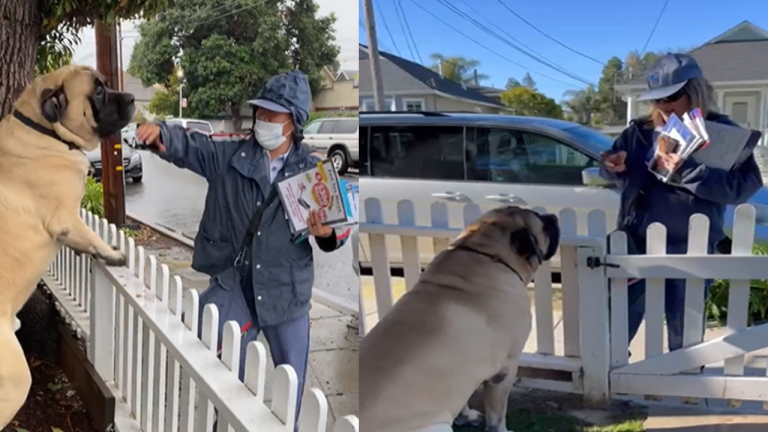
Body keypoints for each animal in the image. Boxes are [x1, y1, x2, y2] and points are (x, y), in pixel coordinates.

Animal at [0, 64, 134, 426]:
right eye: (98, 92)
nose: (131, 97)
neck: (46, 130)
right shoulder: (67, 217)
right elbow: (92, 237)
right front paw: (112, 253)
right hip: (14, 380)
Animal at [360, 207, 560, 432]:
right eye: (542, 222)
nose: (553, 216)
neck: (488, 254)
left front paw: (466, 415)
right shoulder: (505, 369)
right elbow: (497, 414)